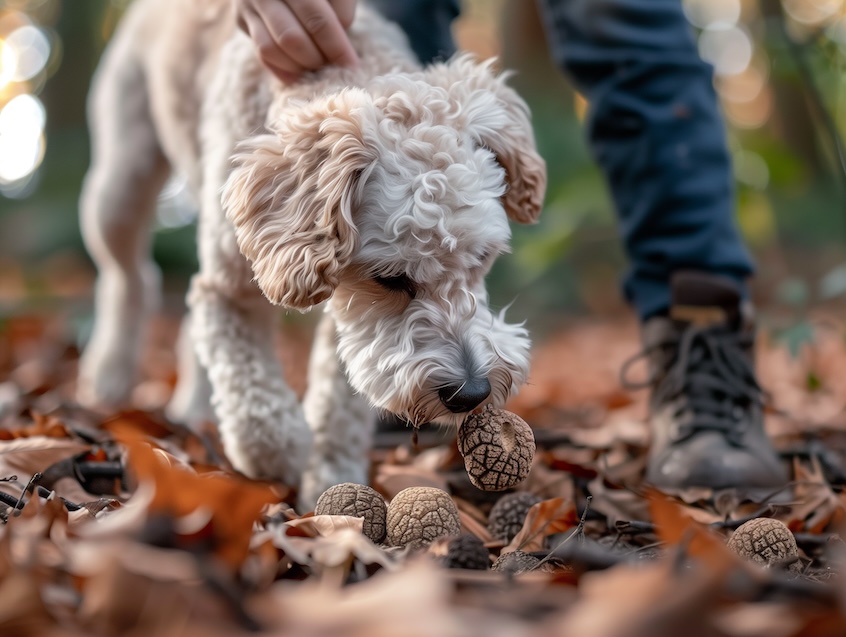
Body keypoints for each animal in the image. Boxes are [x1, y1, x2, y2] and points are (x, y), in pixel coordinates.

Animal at [76, 0, 548, 506]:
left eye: (482, 260)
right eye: (390, 278)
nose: (471, 393)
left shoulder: (356, 325)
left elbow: (341, 398)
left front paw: (331, 479)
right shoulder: (231, 291)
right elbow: (252, 393)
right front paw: (280, 455)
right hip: (120, 184)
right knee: (130, 278)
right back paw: (108, 373)